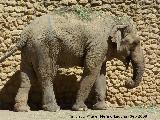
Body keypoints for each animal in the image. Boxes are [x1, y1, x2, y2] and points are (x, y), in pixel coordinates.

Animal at [0, 8, 145, 112]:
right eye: (136, 43)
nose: (127, 81)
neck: (114, 21)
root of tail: (25, 34)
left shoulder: (101, 48)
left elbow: (100, 74)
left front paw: (101, 108)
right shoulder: (98, 44)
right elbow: (91, 71)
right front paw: (80, 109)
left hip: (28, 50)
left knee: (26, 76)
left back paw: (22, 109)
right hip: (43, 48)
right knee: (46, 75)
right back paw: (53, 109)